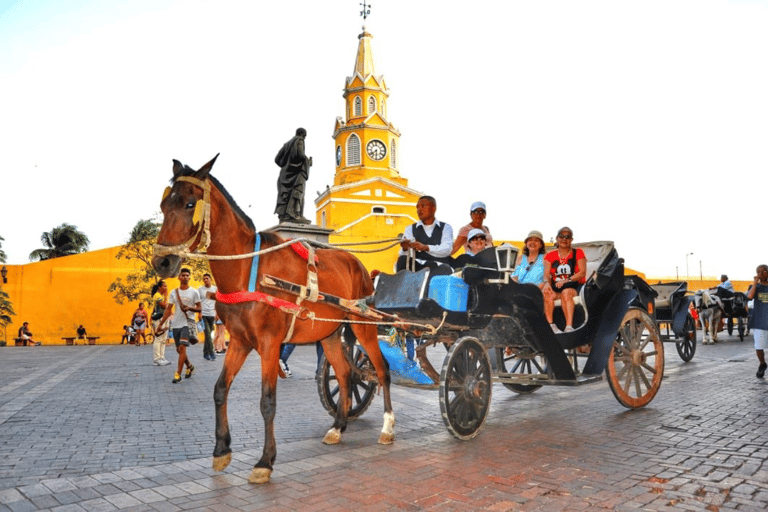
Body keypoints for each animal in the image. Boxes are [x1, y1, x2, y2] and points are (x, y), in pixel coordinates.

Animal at [154, 156, 400, 484]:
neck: (248, 269)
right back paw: (338, 427)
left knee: (382, 369)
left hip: (362, 324)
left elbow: (267, 401)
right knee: (345, 373)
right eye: (164, 205)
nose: (162, 261)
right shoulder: (240, 342)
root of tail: (357, 263)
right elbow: (220, 390)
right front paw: (221, 451)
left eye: (189, 204)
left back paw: (387, 427)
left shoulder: (270, 344)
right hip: (329, 333)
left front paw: (265, 461)